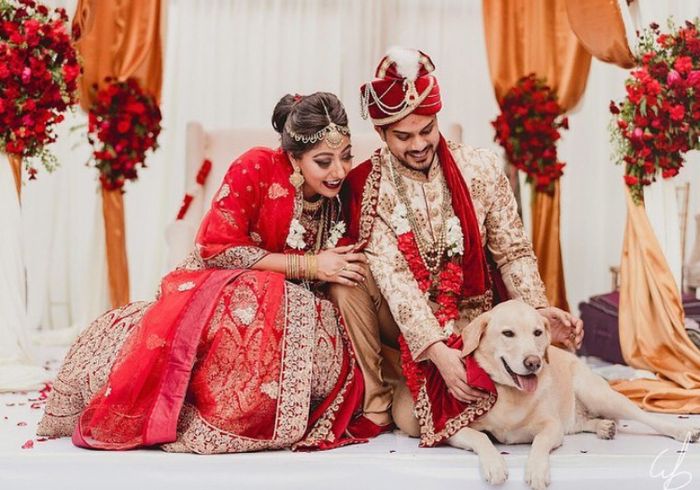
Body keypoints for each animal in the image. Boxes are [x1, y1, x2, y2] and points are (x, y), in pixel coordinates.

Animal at [394, 300, 700, 488]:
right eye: (508, 333)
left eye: (538, 332)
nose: (534, 362)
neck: (509, 395)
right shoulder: (452, 430)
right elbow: (482, 438)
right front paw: (495, 465)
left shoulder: (551, 427)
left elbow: (539, 442)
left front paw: (537, 471)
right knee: (582, 422)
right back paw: (603, 427)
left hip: (599, 394)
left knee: (644, 416)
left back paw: (682, 431)